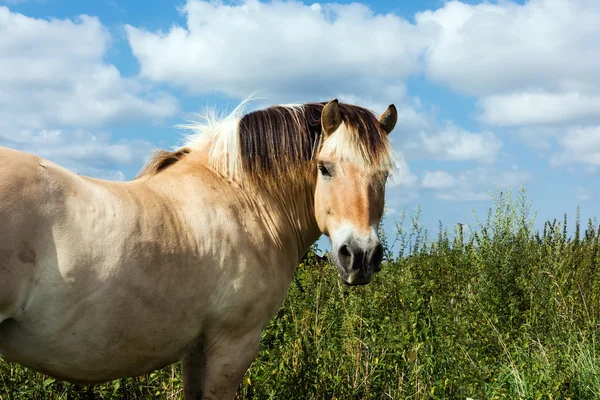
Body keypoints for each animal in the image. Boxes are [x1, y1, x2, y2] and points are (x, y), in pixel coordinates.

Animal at [0, 98, 398, 398]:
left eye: (385, 174)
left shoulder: (195, 349)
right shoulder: (232, 345)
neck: (245, 199)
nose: (360, 256)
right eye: (325, 168)